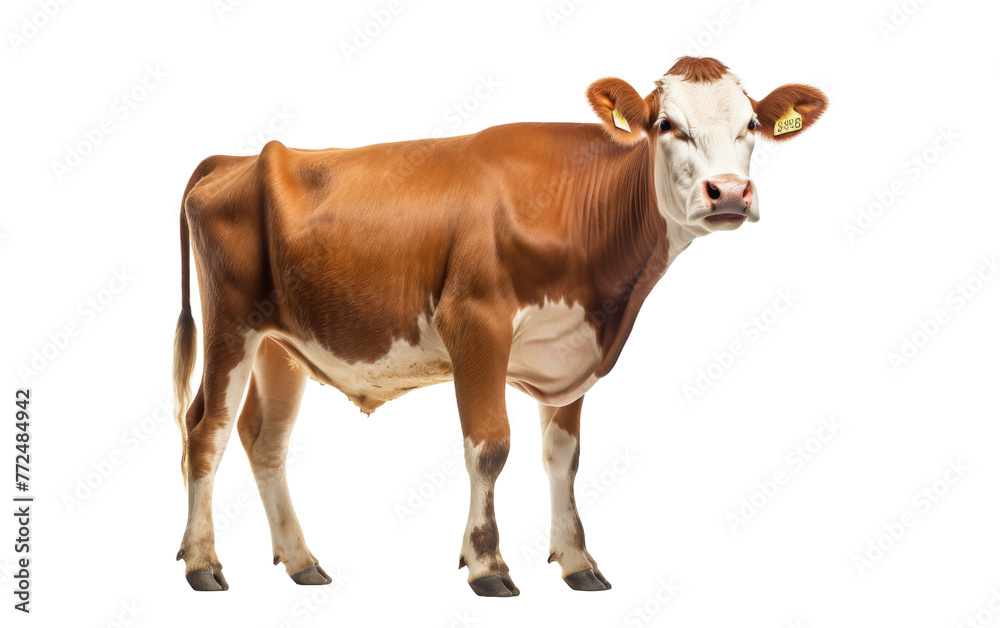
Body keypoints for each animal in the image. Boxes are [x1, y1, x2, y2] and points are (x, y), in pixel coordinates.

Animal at [174, 56, 828, 596]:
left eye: (751, 124)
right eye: (666, 125)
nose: (730, 193)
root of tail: (238, 159)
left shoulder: (572, 345)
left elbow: (564, 456)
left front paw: (577, 561)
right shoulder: (475, 321)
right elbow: (490, 446)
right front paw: (487, 565)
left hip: (281, 344)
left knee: (264, 439)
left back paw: (302, 560)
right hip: (231, 325)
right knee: (206, 431)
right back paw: (203, 563)